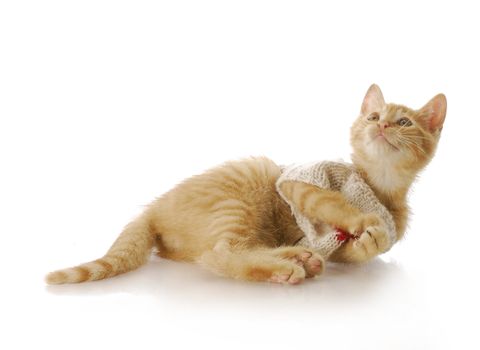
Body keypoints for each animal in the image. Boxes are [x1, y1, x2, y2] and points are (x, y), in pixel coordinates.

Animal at [46, 85, 446, 284]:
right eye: (374, 116)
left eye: (405, 122)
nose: (382, 125)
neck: (377, 184)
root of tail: (152, 209)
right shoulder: (299, 181)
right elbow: (332, 203)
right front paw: (365, 219)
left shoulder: (335, 243)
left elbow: (355, 250)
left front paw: (370, 238)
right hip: (242, 191)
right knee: (219, 253)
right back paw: (285, 266)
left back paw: (298, 257)